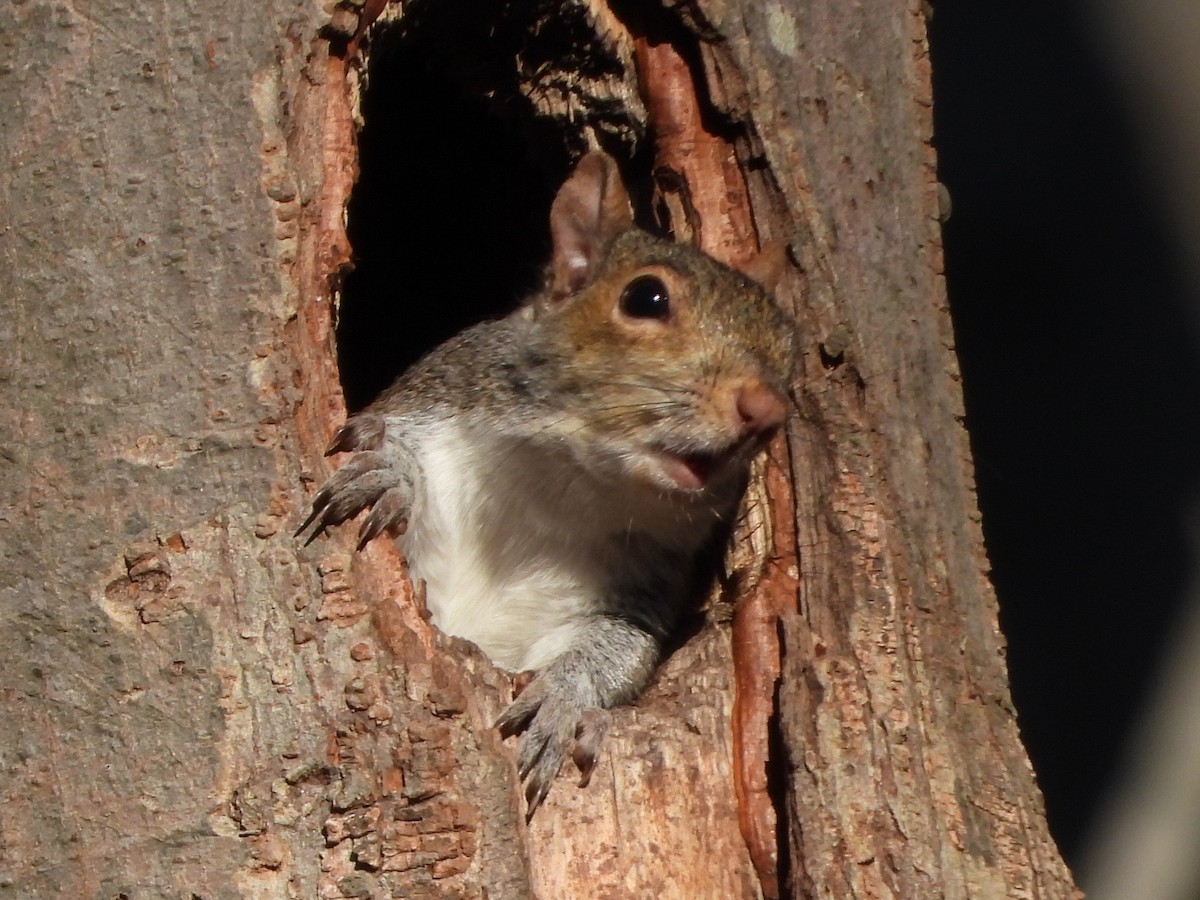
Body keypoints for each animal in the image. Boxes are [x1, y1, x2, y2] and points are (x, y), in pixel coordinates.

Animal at [298, 151, 796, 816]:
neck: (560, 491)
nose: (766, 410)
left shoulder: (637, 585)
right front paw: (389, 474)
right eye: (645, 296)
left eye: (790, 348)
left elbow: (616, 649)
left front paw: (564, 696)